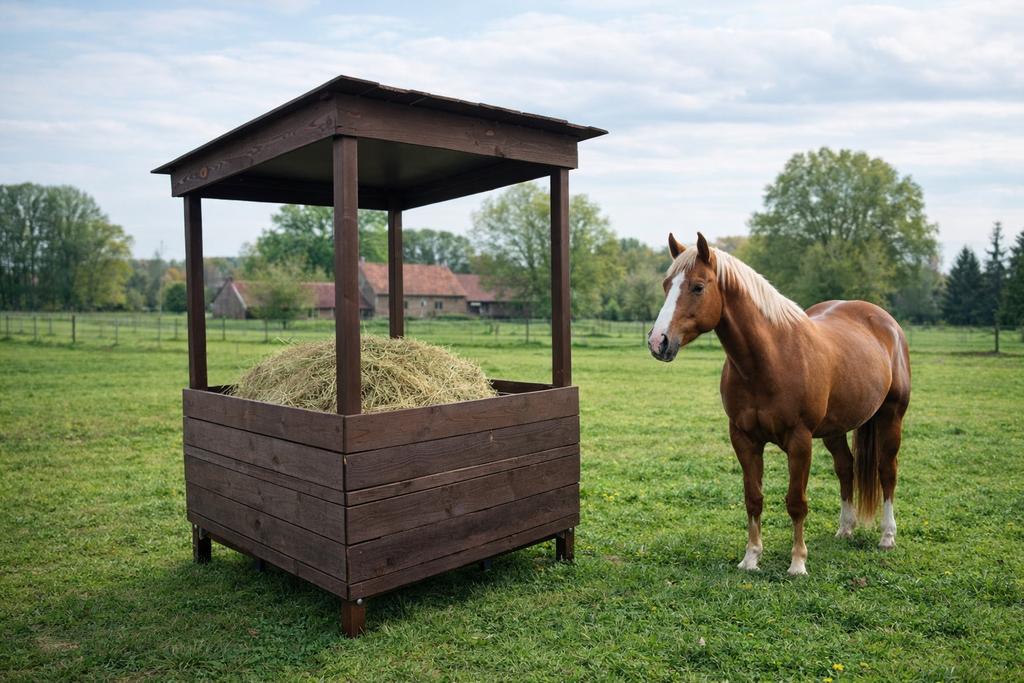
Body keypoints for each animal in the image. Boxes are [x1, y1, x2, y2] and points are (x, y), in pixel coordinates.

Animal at [647, 232, 910, 575]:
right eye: (667, 284)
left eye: (698, 287)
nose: (658, 341)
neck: (770, 360)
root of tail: (885, 321)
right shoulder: (744, 439)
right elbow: (753, 498)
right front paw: (751, 558)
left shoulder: (799, 441)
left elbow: (796, 502)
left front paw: (797, 563)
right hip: (835, 429)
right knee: (845, 467)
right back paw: (845, 529)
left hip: (891, 417)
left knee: (887, 470)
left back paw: (887, 537)